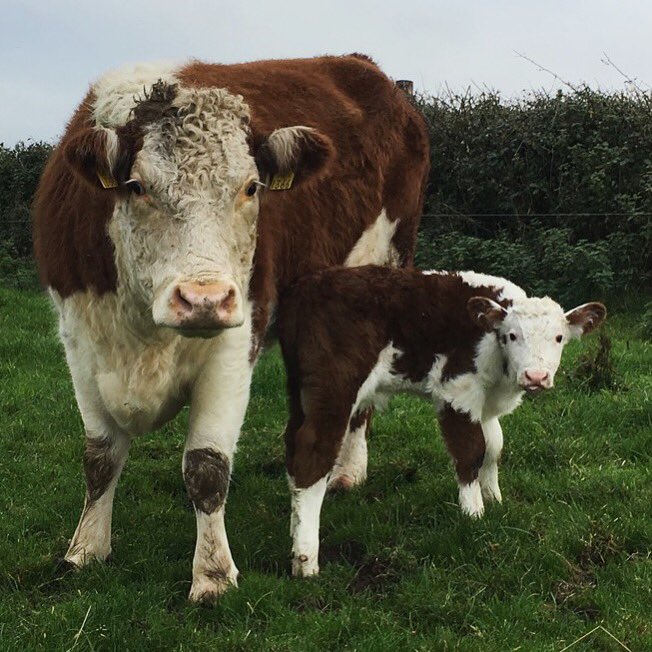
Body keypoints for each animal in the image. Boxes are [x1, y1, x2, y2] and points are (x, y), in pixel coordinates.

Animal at [32, 55, 429, 602]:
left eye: (251, 187)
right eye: (137, 186)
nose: (204, 299)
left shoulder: (237, 340)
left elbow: (207, 466)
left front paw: (214, 575)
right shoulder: (80, 341)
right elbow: (100, 457)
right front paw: (85, 549)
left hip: (382, 267)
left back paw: (349, 471)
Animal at [277, 266, 606, 577]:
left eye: (559, 338)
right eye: (512, 335)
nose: (536, 376)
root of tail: (308, 285)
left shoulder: (484, 401)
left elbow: (493, 447)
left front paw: (494, 498)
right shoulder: (458, 390)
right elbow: (472, 451)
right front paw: (473, 513)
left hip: (300, 390)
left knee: (293, 447)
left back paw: (294, 527)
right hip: (335, 386)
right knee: (313, 453)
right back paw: (306, 558)